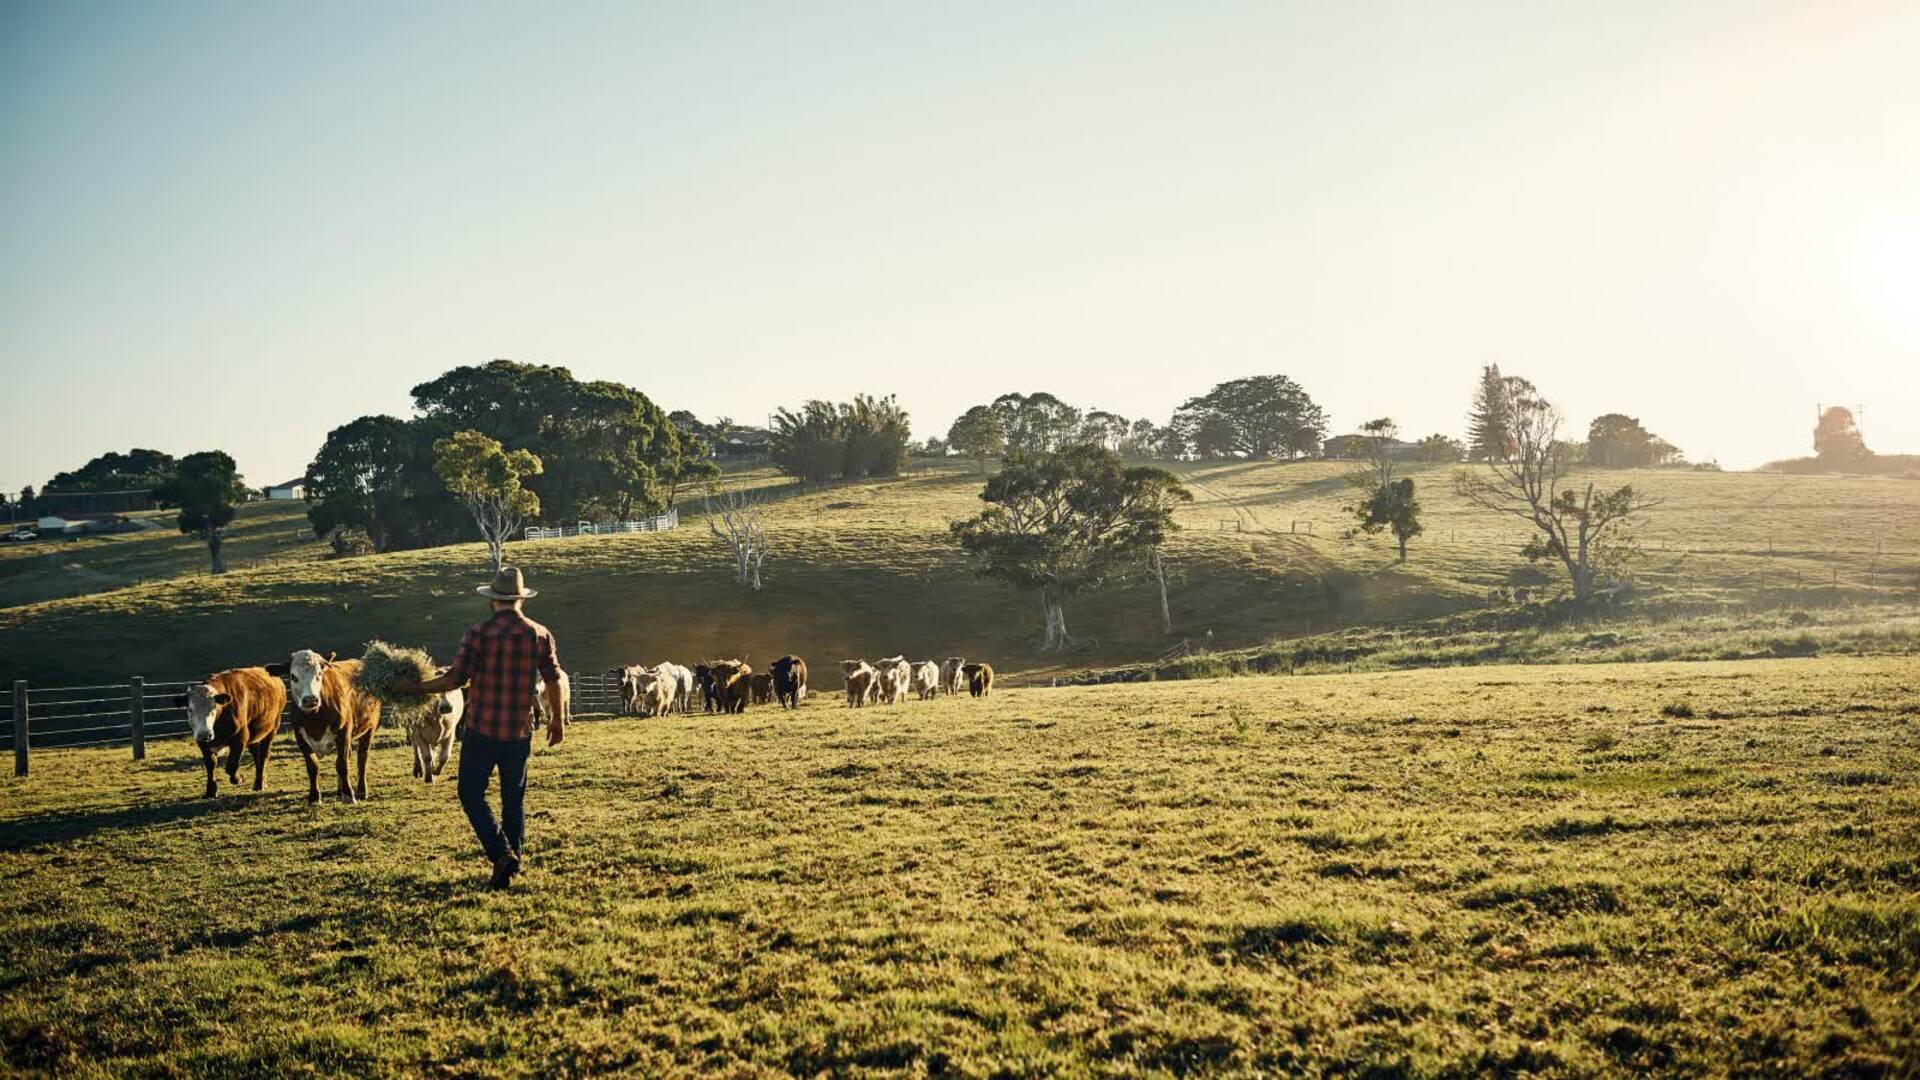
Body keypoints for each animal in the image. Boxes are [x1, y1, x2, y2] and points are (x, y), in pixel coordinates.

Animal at [173, 664, 282, 799]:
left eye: (213, 708)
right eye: (190, 709)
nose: (205, 734)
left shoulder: (240, 738)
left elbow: (231, 766)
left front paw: (240, 778)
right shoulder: (203, 743)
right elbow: (210, 765)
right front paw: (210, 791)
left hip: (272, 728)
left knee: (263, 755)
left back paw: (259, 784)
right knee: (256, 754)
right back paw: (260, 781)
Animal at [274, 645, 382, 799]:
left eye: (319, 674)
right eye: (293, 676)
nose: (310, 699)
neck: (315, 719)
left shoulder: (344, 732)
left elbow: (342, 765)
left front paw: (348, 794)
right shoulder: (300, 737)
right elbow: (312, 767)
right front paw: (314, 796)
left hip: (369, 728)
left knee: (362, 757)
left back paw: (361, 790)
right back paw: (339, 789)